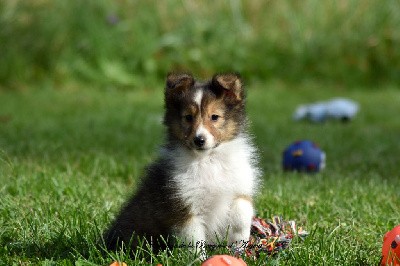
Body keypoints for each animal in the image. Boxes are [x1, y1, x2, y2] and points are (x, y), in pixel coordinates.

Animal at [103, 72, 260, 258]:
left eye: (214, 117)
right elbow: (194, 238)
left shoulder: (239, 188)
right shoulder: (184, 208)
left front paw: (239, 246)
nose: (199, 140)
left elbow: (242, 210)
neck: (208, 160)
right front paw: (199, 259)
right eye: (188, 117)